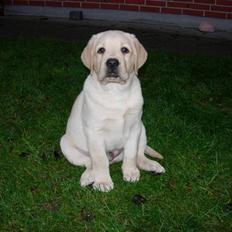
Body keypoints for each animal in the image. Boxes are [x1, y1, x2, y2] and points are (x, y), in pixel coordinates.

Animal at [59, 29, 165, 192]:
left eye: (125, 50)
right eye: (101, 50)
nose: (112, 62)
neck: (115, 91)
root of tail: (114, 159)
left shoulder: (134, 127)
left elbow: (131, 154)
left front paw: (130, 172)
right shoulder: (95, 132)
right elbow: (99, 159)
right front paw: (103, 181)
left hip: (142, 129)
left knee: (139, 155)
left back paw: (152, 165)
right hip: (65, 143)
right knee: (89, 162)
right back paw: (88, 177)